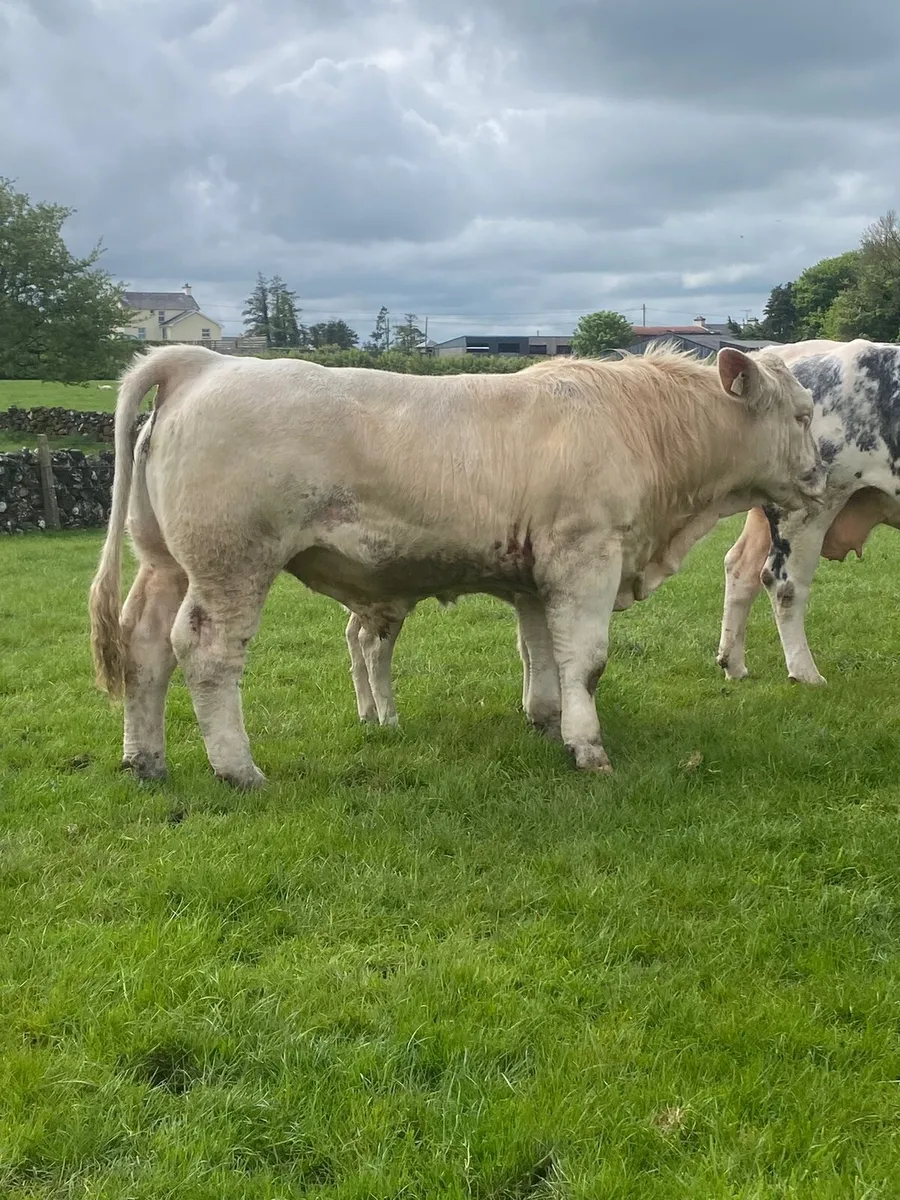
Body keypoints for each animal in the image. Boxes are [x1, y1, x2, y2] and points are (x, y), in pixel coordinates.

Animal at [88, 341, 824, 789]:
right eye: (801, 414)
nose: (821, 474)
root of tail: (205, 362)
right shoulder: (586, 557)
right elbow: (585, 661)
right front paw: (588, 747)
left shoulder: (537, 578)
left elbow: (542, 657)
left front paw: (547, 722)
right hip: (231, 563)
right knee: (206, 653)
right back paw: (238, 770)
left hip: (166, 563)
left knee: (144, 647)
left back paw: (146, 760)